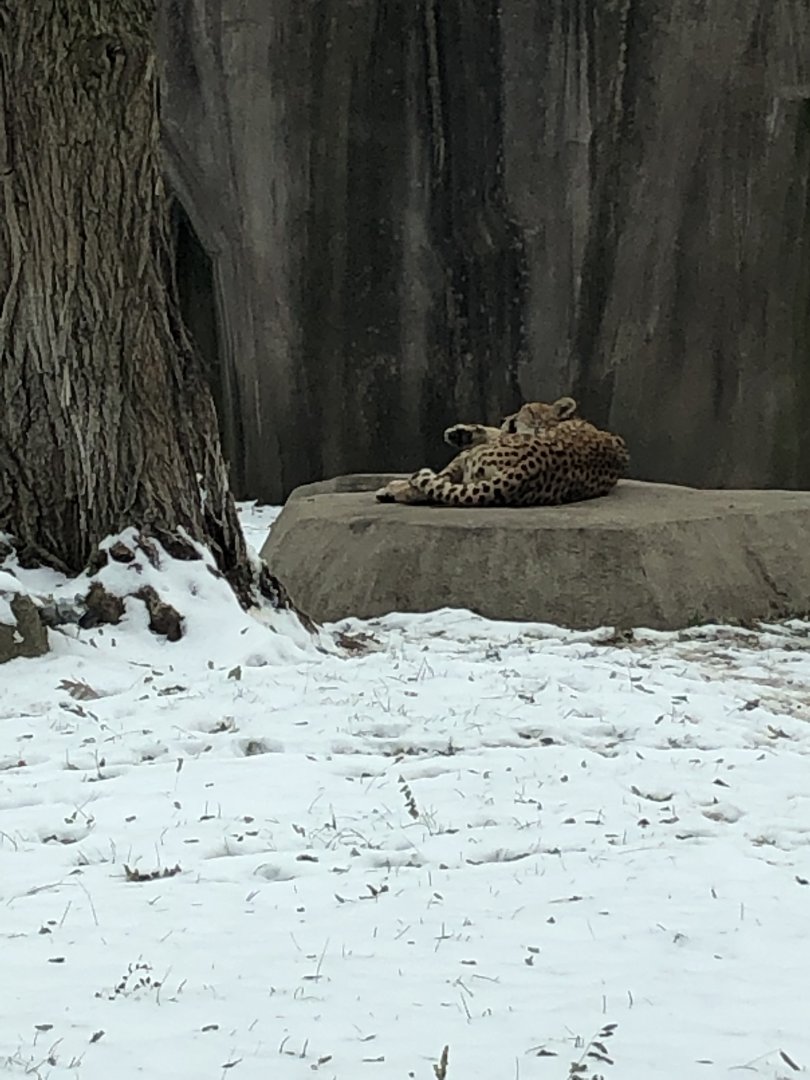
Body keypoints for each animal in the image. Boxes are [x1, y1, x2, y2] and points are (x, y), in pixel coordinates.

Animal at [375, 396, 629, 508]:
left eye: (524, 409)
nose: (507, 417)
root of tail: (529, 467)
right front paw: (462, 432)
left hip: (469, 460)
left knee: (432, 485)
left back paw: (392, 489)